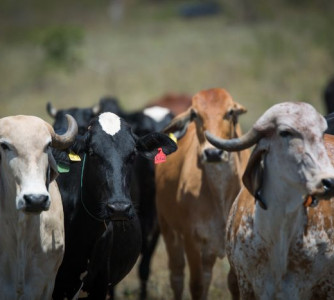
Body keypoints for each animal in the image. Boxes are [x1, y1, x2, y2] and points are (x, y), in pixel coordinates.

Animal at [155, 88, 249, 298]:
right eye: (195, 115)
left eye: (230, 112)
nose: (213, 153)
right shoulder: (192, 240)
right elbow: (196, 286)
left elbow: (234, 285)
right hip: (168, 228)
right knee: (177, 276)